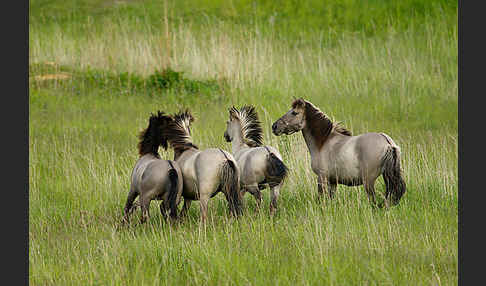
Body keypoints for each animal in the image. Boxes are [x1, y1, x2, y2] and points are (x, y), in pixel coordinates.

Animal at [274, 99, 406, 208]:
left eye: (294, 113)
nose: (274, 126)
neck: (323, 142)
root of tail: (387, 142)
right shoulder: (333, 182)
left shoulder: (321, 178)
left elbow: (321, 200)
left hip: (369, 182)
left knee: (373, 201)